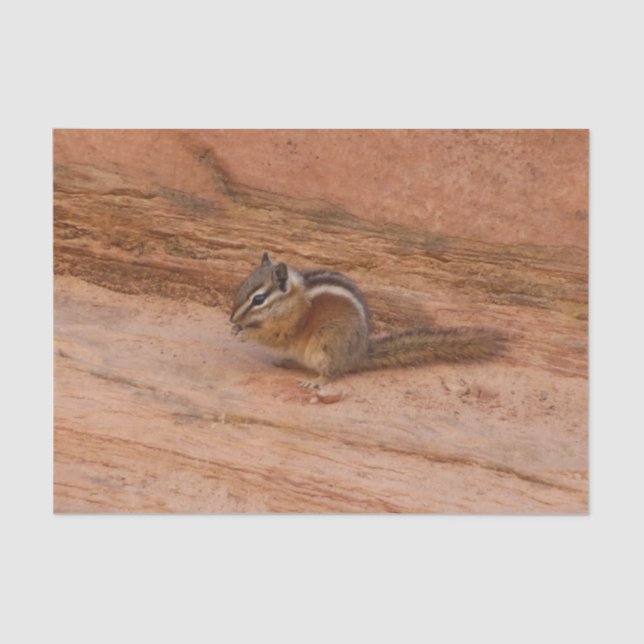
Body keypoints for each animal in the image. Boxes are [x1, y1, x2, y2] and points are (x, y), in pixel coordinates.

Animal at [230, 251, 503, 388]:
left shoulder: (293, 323)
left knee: (332, 372)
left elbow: (276, 337)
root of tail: (358, 354)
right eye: (242, 286)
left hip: (327, 343)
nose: (231, 317)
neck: (293, 299)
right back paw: (288, 362)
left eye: (258, 299)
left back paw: (316, 382)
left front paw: (246, 332)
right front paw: (236, 328)